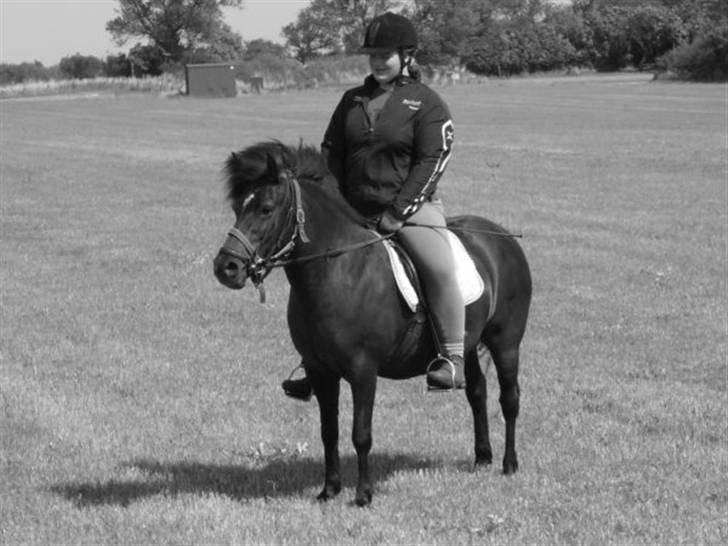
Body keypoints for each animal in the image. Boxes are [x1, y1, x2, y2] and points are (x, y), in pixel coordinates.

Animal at [213, 141, 532, 506]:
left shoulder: (363, 371)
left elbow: (360, 434)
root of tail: (503, 237)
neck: (338, 271)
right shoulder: (321, 371)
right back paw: (482, 457)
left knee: (509, 399)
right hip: (468, 344)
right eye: (237, 208)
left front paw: (363, 495)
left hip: (506, 344)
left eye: (266, 208)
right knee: (477, 391)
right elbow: (329, 432)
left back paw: (509, 464)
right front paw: (329, 490)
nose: (226, 267)